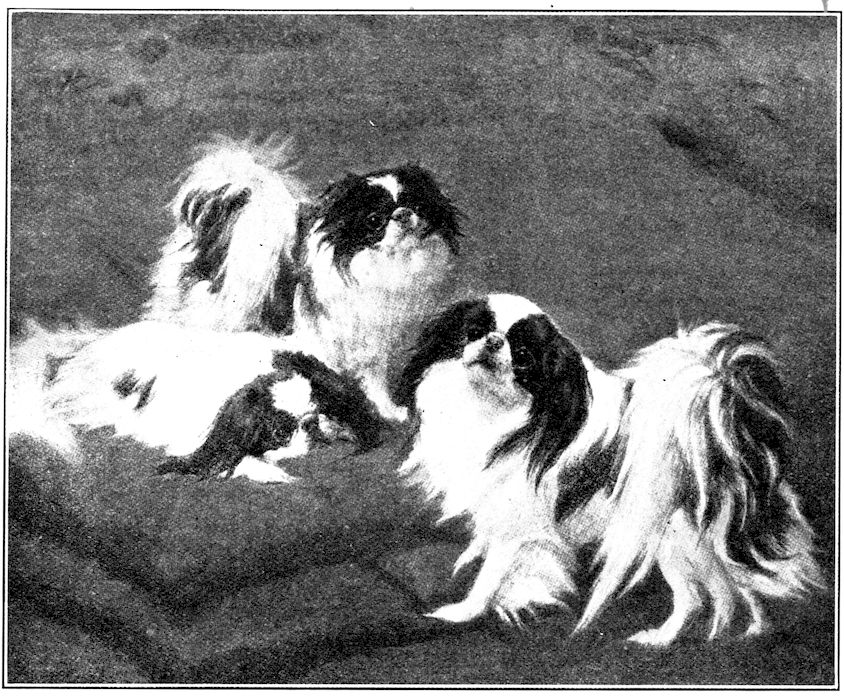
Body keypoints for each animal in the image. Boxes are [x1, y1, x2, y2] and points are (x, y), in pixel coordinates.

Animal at [396, 293, 825, 645]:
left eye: (524, 357)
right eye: (473, 331)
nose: (493, 341)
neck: (493, 409)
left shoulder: (513, 520)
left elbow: (489, 576)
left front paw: (462, 613)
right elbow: (526, 567)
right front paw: (522, 596)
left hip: (673, 537)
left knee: (703, 594)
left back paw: (663, 639)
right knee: (730, 588)